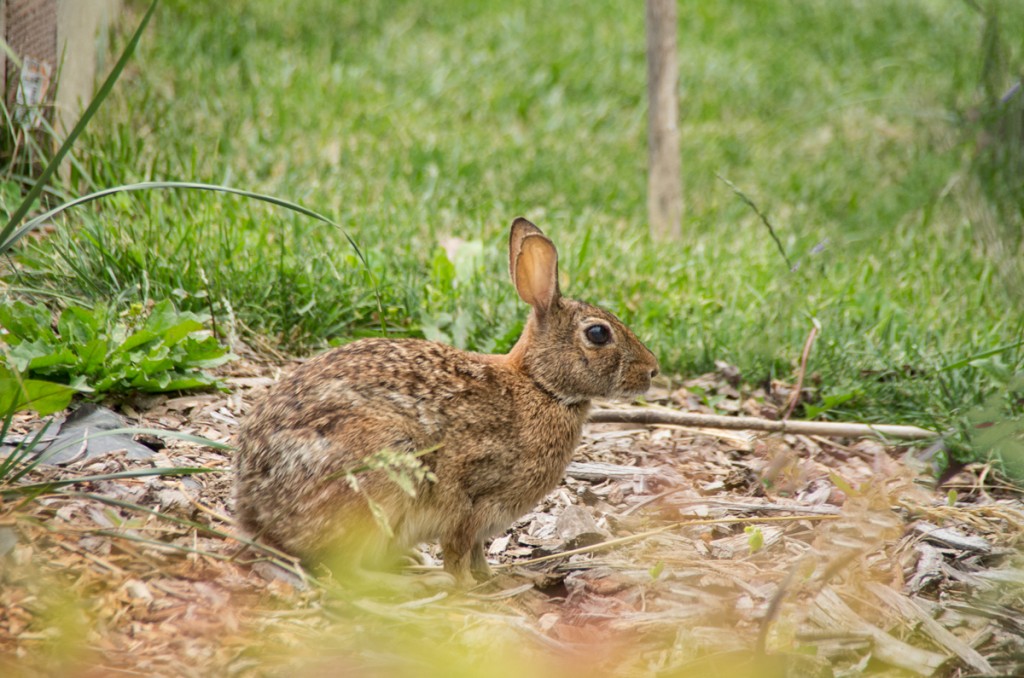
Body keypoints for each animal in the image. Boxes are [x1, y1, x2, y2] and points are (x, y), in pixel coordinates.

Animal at [233, 220, 659, 585]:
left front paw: (495, 578)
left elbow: (478, 553)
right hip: (381, 476)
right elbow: (458, 551)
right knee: (348, 570)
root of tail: (258, 506)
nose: (653, 370)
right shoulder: (472, 501)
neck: (539, 385)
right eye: (598, 334)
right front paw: (468, 586)